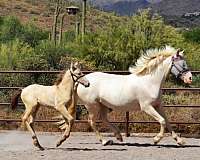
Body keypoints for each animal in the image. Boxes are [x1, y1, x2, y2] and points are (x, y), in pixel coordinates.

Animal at [58, 45, 192, 146]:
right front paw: (156, 139)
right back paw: (104, 141)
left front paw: (180, 141)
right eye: (182, 64)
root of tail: (82, 81)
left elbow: (167, 121)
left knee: (103, 119)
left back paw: (118, 137)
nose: (190, 78)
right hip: (92, 105)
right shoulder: (147, 107)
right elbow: (162, 121)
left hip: (102, 105)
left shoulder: (158, 105)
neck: (150, 82)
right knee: (91, 121)